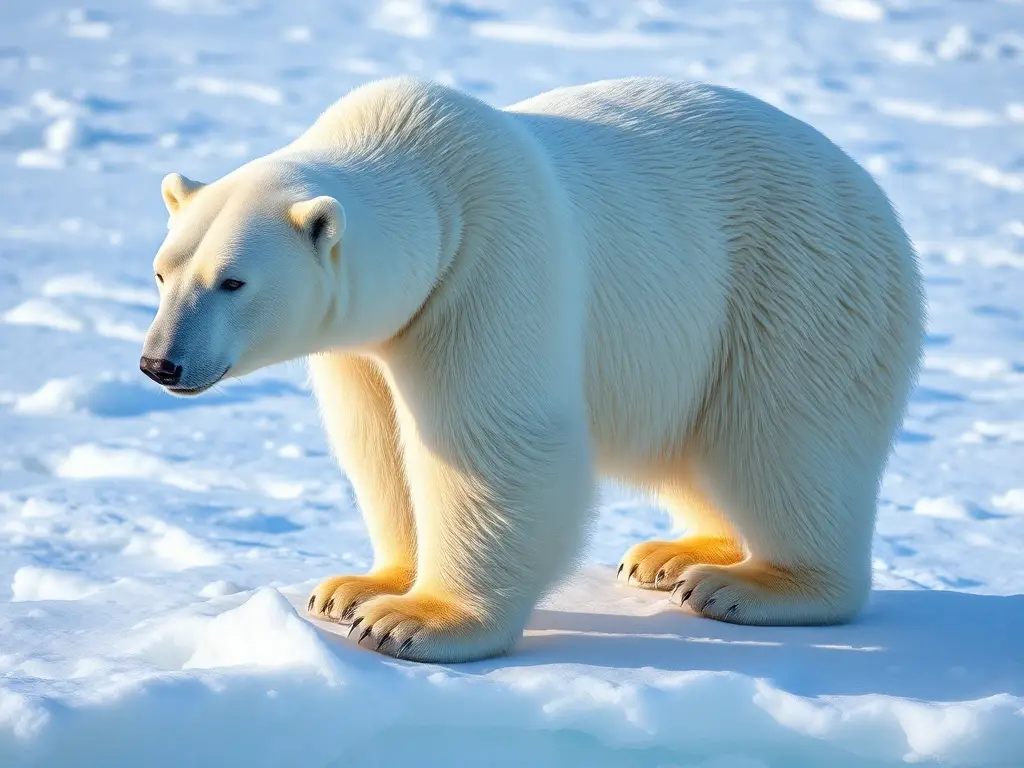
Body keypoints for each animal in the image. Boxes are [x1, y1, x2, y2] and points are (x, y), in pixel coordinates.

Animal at [141, 76, 925, 663]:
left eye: (233, 282)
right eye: (162, 270)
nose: (159, 362)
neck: (425, 166)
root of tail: (868, 188)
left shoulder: (489, 268)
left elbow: (487, 441)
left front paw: (415, 621)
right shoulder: (364, 344)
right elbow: (380, 443)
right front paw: (354, 587)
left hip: (795, 289)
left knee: (783, 441)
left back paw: (747, 586)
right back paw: (669, 556)